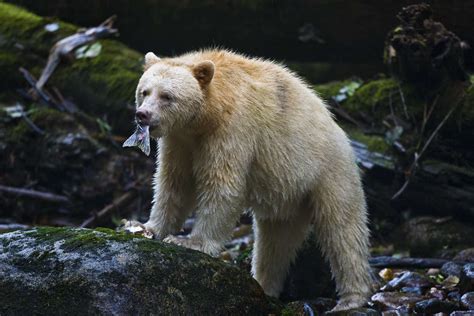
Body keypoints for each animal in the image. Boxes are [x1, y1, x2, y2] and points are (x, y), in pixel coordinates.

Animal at [128, 50, 372, 312]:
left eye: (167, 96)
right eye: (144, 91)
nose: (142, 115)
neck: (206, 116)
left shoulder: (233, 129)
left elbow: (223, 186)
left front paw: (191, 242)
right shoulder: (179, 141)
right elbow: (174, 183)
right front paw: (144, 226)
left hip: (329, 173)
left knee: (343, 231)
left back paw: (351, 299)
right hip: (287, 198)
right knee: (274, 244)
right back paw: (264, 285)